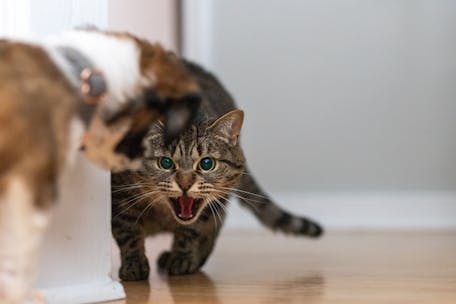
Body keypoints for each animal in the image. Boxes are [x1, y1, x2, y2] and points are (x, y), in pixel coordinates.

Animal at [112, 61, 322, 280]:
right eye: (165, 163)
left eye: (206, 164)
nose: (185, 184)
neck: (163, 215)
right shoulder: (118, 198)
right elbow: (128, 234)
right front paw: (134, 265)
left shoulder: (205, 212)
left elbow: (190, 233)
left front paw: (182, 258)